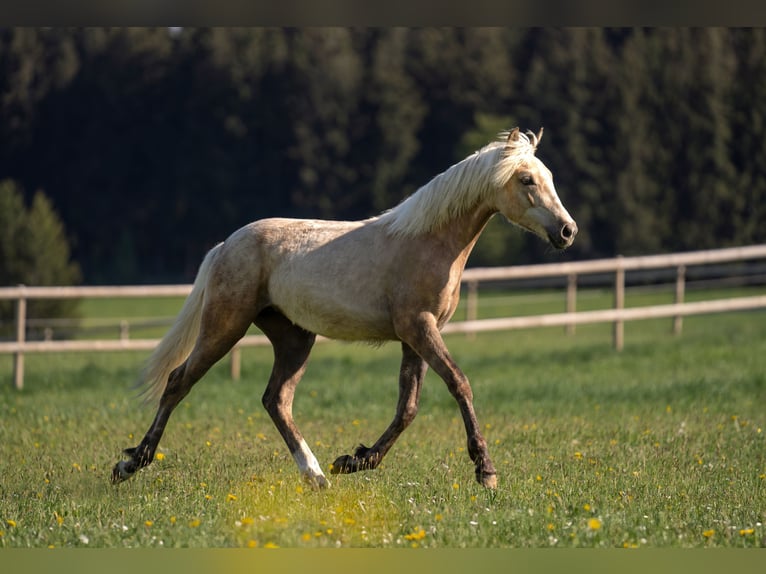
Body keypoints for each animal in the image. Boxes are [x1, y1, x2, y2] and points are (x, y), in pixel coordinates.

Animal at [112, 128, 576, 492]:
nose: (567, 231)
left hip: (294, 337)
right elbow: (459, 384)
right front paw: (486, 471)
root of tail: (226, 244)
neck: (428, 241)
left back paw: (317, 475)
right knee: (178, 382)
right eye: (527, 179)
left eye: (551, 178)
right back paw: (130, 463)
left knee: (276, 400)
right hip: (224, 326)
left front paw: (355, 460)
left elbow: (407, 408)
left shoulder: (414, 337)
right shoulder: (420, 328)